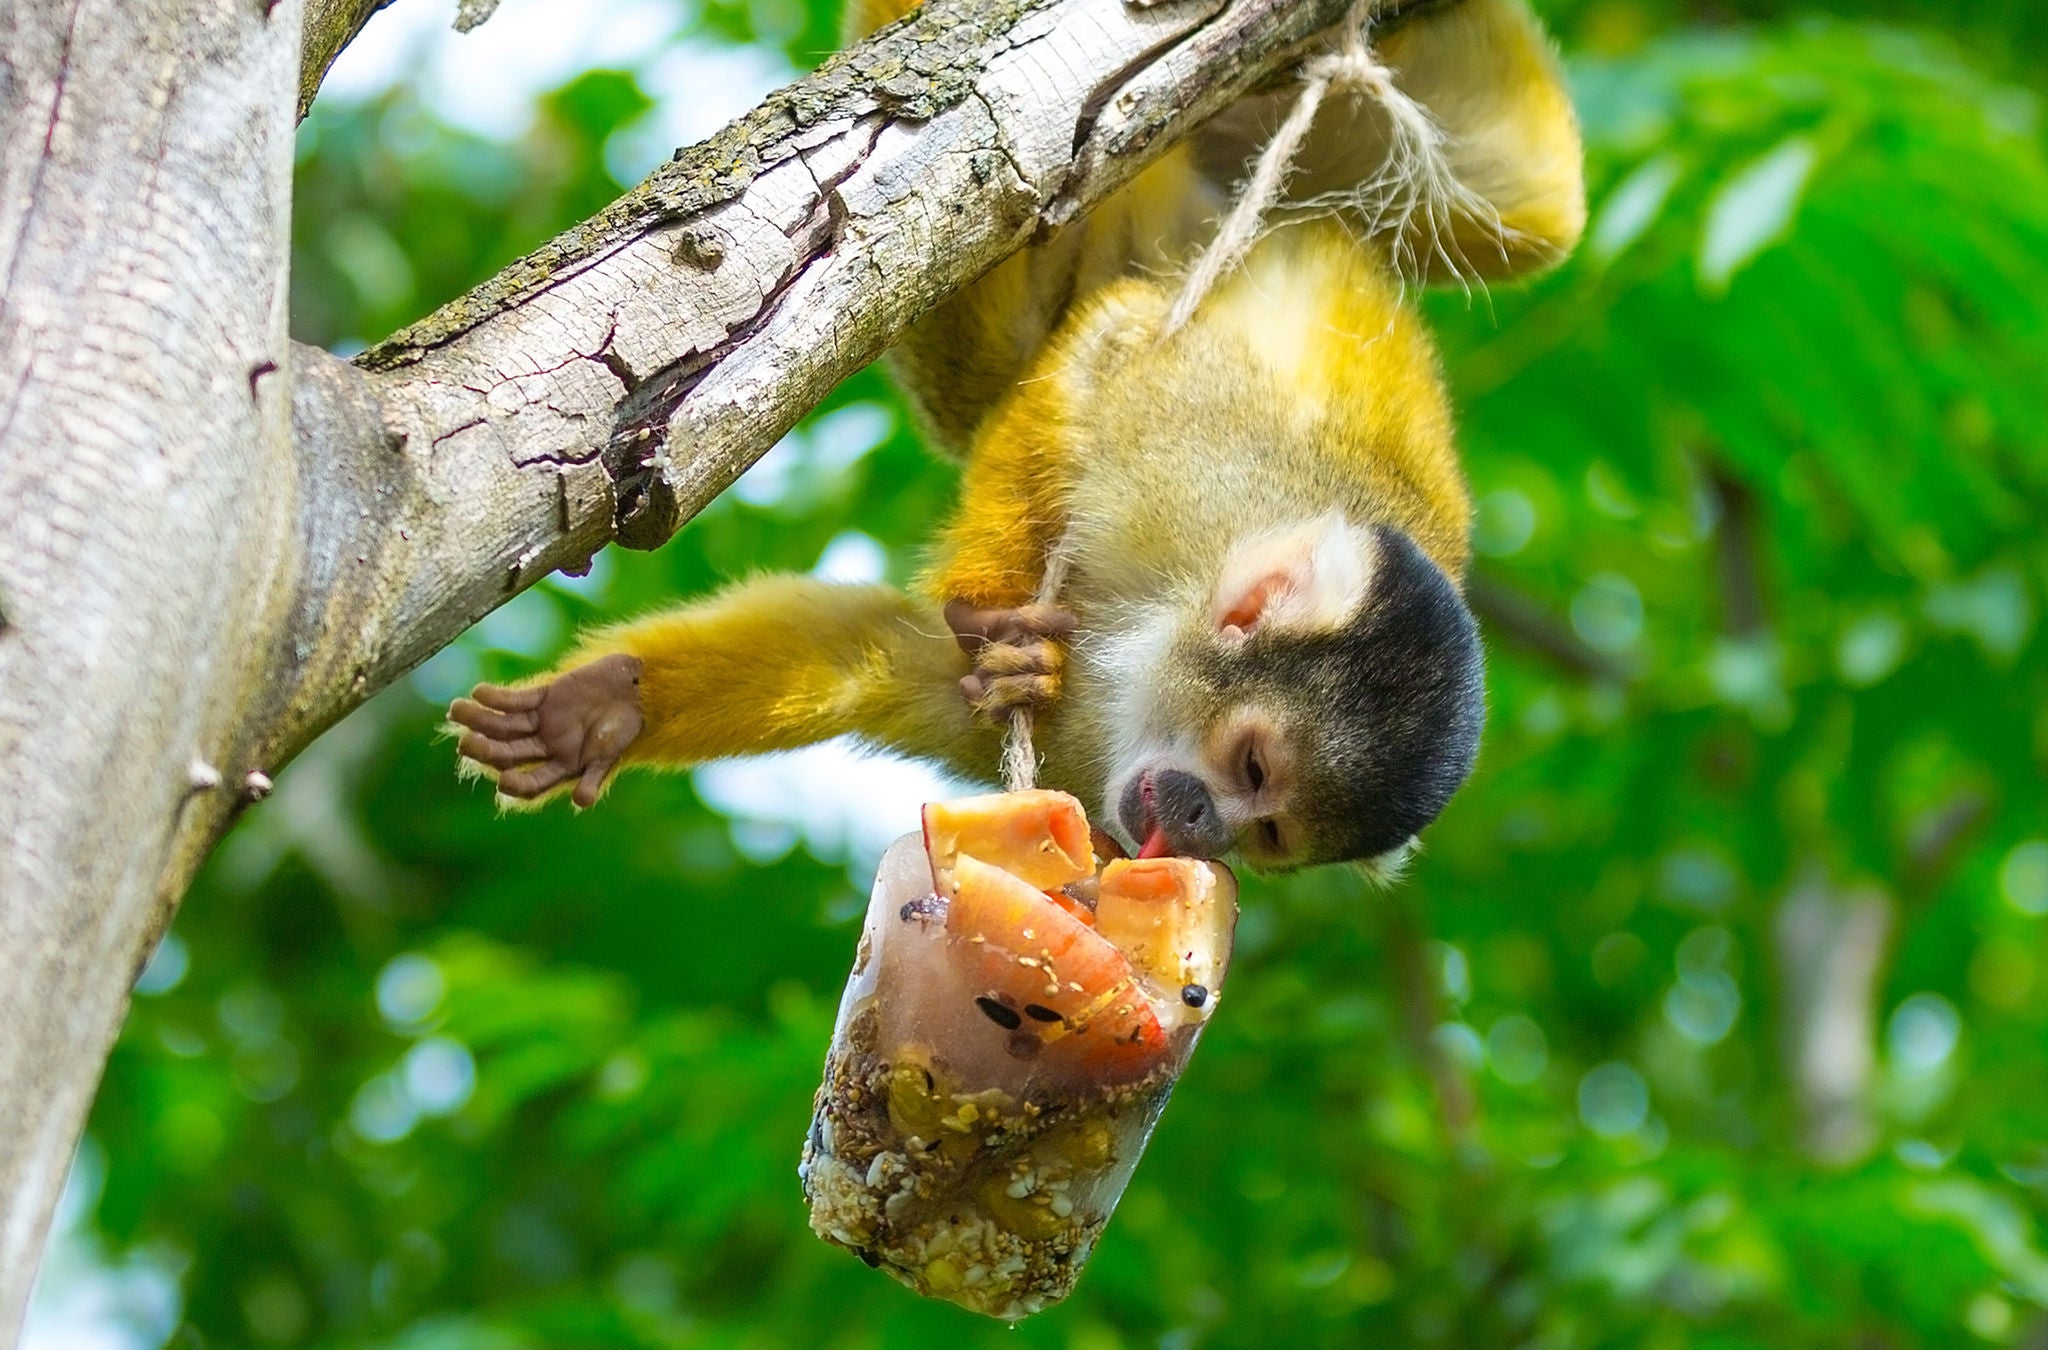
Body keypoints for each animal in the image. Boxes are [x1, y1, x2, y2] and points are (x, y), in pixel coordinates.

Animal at [452, 0, 1581, 872]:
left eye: (1269, 836)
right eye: (1250, 767)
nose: (1202, 829)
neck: (1143, 647)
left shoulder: (1090, 760)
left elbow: (867, 649)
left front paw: (605, 708)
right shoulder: (1190, 471)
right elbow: (1102, 349)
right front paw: (994, 625)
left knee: (1526, 215)